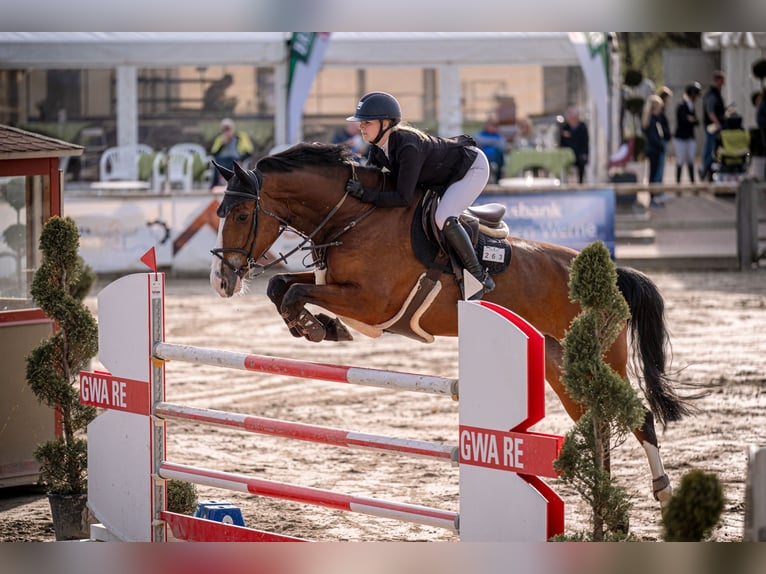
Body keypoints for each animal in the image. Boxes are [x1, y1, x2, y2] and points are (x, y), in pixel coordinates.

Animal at [209, 142, 690, 506]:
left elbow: (292, 293)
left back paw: (661, 492)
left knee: (638, 416)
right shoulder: (335, 284)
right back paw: (603, 505)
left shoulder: (371, 303)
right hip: (561, 365)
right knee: (597, 422)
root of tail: (613, 275)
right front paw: (321, 327)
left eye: (240, 215)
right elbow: (281, 286)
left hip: (602, 362)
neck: (353, 217)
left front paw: (315, 327)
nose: (221, 280)